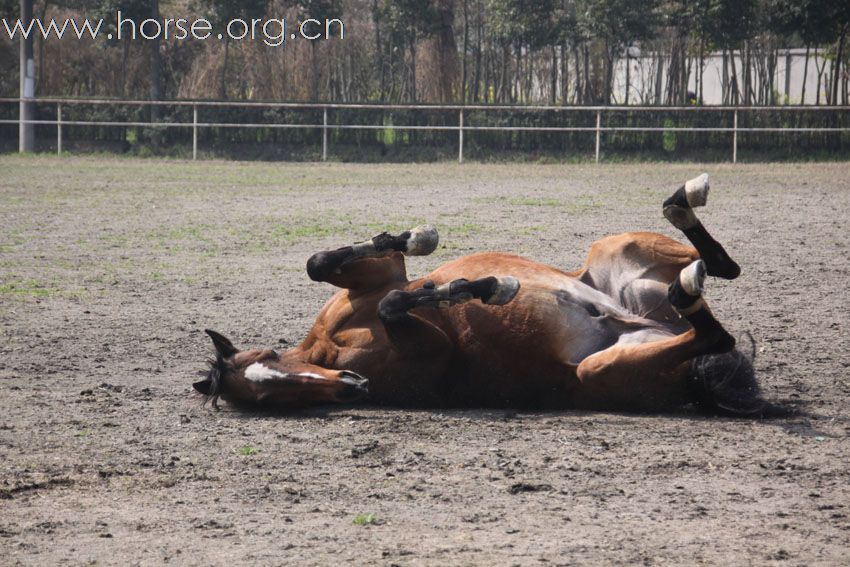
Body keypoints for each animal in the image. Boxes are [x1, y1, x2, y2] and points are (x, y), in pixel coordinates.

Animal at [195, 175, 784, 420]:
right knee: (713, 329)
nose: (352, 387)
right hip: (602, 368)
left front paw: (420, 241)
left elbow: (327, 264)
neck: (326, 348)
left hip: (614, 252)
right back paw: (687, 288)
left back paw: (686, 201)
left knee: (720, 265)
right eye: (272, 400)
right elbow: (399, 305)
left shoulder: (381, 277)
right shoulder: (434, 349)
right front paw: (480, 288)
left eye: (271, 357)